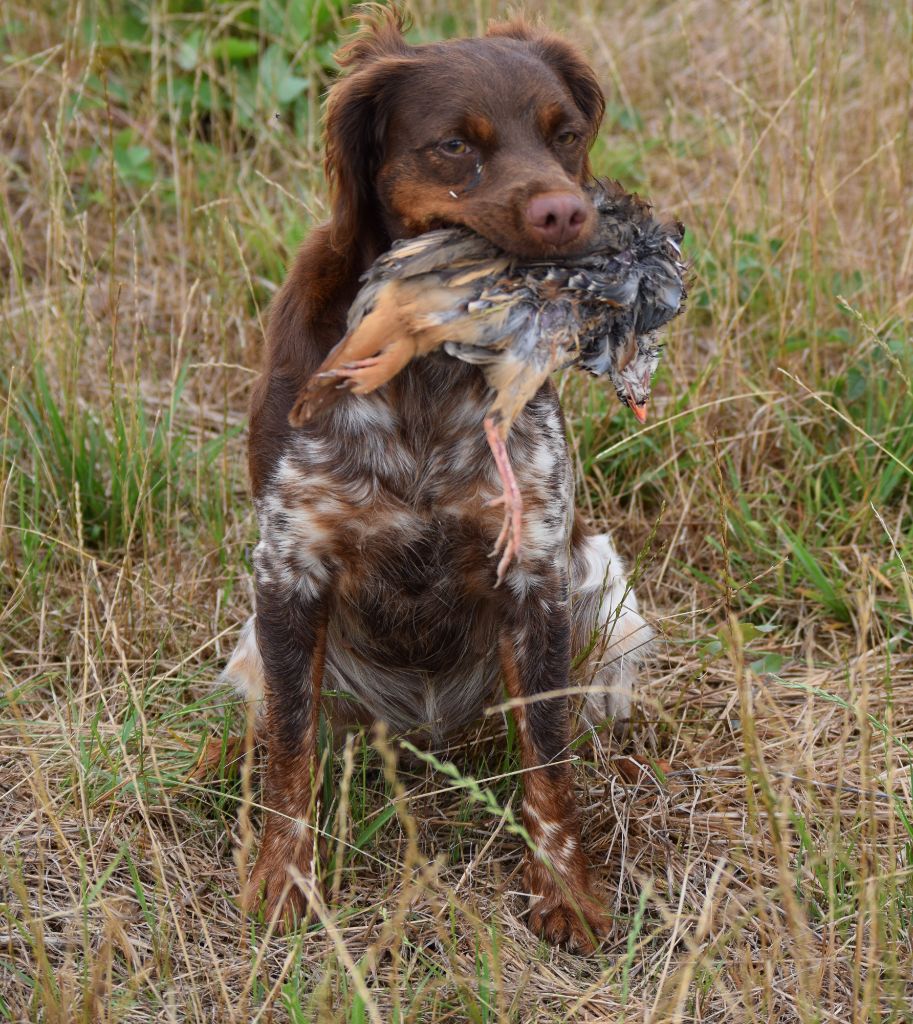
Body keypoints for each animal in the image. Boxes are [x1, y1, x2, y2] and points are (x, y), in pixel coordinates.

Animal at [218, 8, 650, 950]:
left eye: (566, 135)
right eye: (454, 145)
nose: (566, 212)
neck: (424, 367)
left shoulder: (535, 571)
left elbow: (549, 751)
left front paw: (567, 893)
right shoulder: (288, 568)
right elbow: (290, 746)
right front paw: (282, 879)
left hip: (603, 580)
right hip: (255, 638)